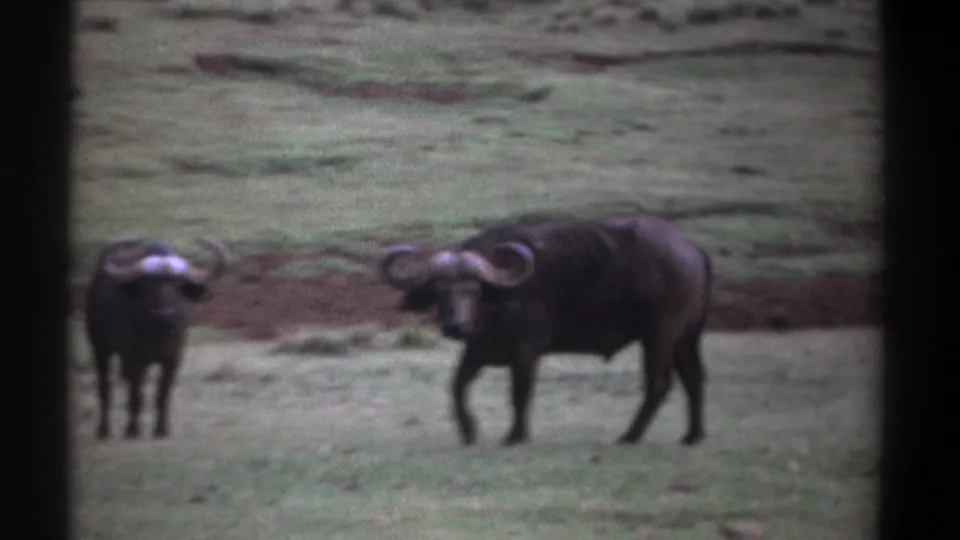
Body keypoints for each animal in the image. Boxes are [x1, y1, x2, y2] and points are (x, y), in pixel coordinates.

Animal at [84, 237, 229, 440]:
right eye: (148, 285)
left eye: (178, 286)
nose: (165, 314)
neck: (157, 333)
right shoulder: (133, 358)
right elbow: (136, 394)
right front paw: (132, 430)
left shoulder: (173, 359)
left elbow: (163, 393)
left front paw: (161, 429)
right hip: (100, 348)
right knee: (105, 387)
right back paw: (103, 430)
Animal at [378, 215, 713, 447]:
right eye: (439, 291)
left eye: (474, 290)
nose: (457, 326)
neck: (499, 302)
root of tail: (692, 248)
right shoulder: (477, 351)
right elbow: (457, 387)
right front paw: (469, 432)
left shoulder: (525, 352)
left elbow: (520, 393)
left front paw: (515, 436)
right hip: (686, 338)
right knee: (693, 379)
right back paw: (692, 435)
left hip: (660, 334)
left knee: (659, 383)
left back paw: (629, 436)